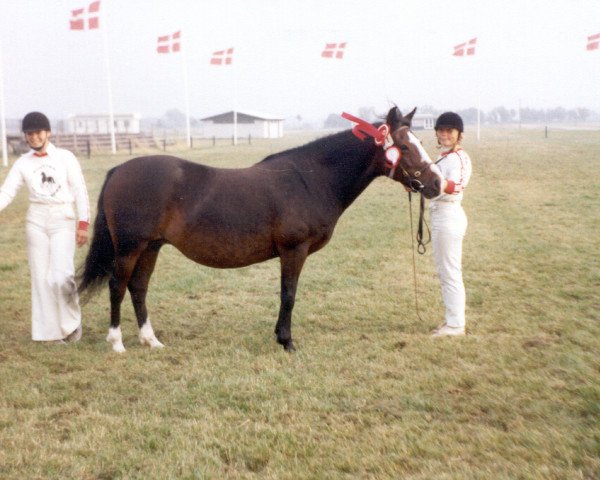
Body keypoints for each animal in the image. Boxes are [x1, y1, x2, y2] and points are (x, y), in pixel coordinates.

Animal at [79, 106, 442, 352]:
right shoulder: (293, 250)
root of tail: (119, 170)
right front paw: (287, 341)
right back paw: (116, 342)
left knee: (138, 288)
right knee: (117, 285)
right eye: (405, 147)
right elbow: (289, 294)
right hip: (130, 246)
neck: (311, 179)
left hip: (151, 246)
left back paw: (150, 340)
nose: (437, 184)